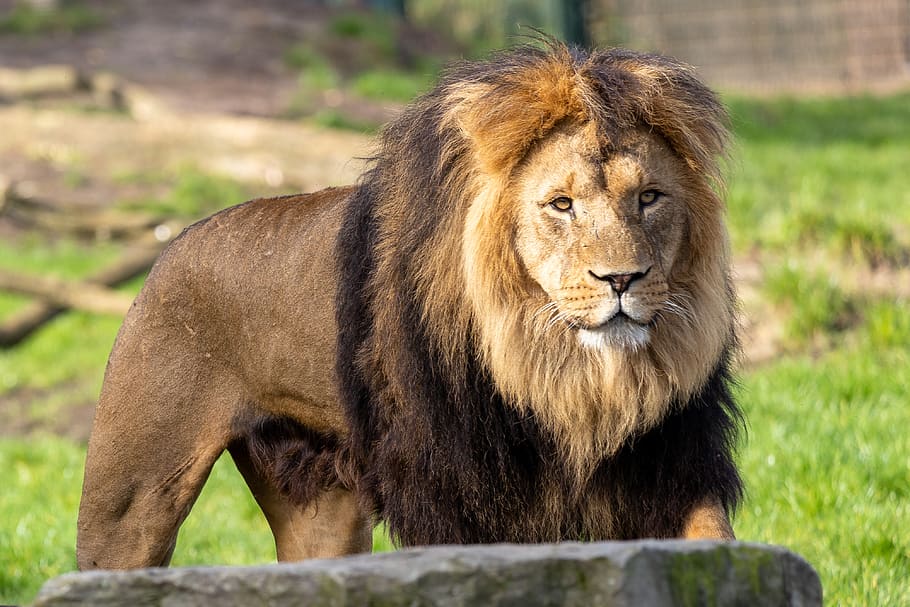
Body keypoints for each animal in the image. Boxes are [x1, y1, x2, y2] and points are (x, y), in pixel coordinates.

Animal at [76, 44, 748, 568]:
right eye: (561, 205)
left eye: (650, 197)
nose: (622, 278)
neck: (562, 374)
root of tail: (172, 244)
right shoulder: (455, 492)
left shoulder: (671, 462)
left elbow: (715, 539)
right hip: (130, 497)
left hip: (322, 512)